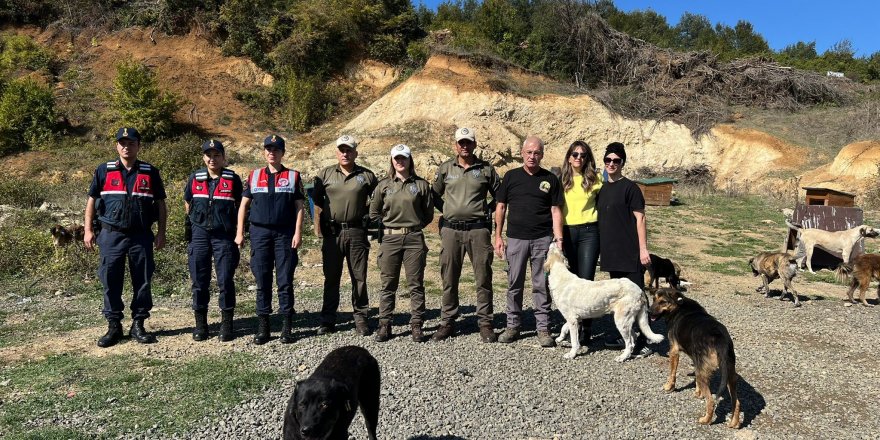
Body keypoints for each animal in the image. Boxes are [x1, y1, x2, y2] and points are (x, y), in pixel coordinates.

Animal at [648, 288, 740, 428]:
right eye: (653, 299)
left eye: (663, 302)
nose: (648, 312)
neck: (677, 306)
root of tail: (720, 338)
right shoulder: (697, 360)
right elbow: (696, 378)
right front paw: (698, 393)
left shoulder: (674, 351)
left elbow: (672, 373)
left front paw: (669, 387)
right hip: (729, 373)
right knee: (737, 401)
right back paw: (734, 423)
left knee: (711, 401)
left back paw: (706, 420)